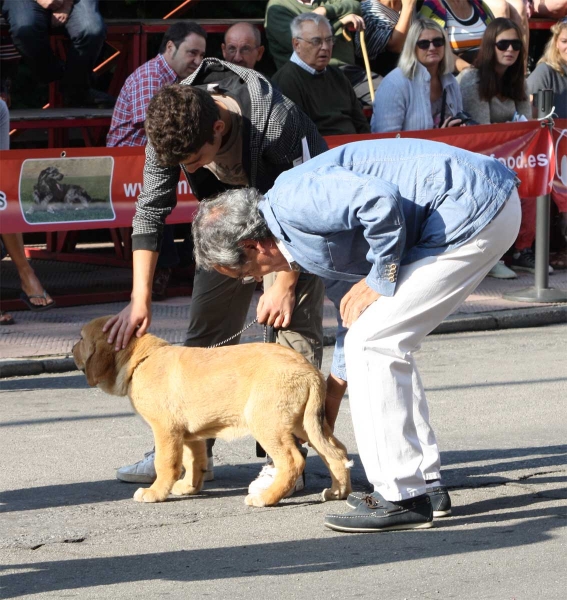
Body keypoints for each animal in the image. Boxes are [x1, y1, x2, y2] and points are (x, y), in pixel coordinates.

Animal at [73, 316, 352, 508]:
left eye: (81, 338)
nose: (73, 350)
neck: (141, 359)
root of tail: (310, 371)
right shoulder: (189, 434)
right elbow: (193, 460)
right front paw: (189, 486)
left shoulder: (165, 430)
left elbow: (165, 463)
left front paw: (155, 492)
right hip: (306, 424)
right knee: (337, 452)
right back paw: (338, 492)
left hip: (267, 425)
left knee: (293, 461)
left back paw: (266, 497)